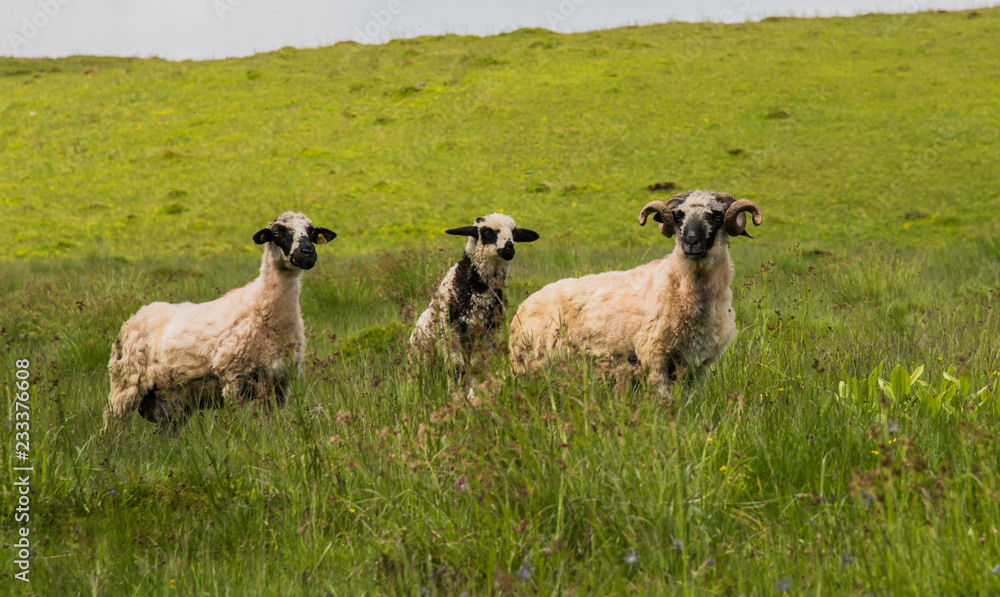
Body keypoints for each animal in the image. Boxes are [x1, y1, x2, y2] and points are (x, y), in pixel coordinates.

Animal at [103, 212, 336, 429]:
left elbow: (270, 426)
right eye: (277, 233)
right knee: (112, 421)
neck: (263, 309)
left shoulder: (279, 384)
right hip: (125, 384)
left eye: (312, 232)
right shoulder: (234, 378)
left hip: (172, 404)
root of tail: (132, 318)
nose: (308, 253)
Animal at [410, 213, 539, 364]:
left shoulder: (491, 328)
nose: (509, 249)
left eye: (514, 233)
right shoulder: (451, 327)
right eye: (488, 233)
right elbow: (457, 364)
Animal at [509, 190, 762, 394]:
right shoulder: (654, 356)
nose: (691, 242)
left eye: (716, 215)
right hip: (529, 362)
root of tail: (523, 306)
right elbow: (665, 399)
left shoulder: (701, 364)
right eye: (679, 216)